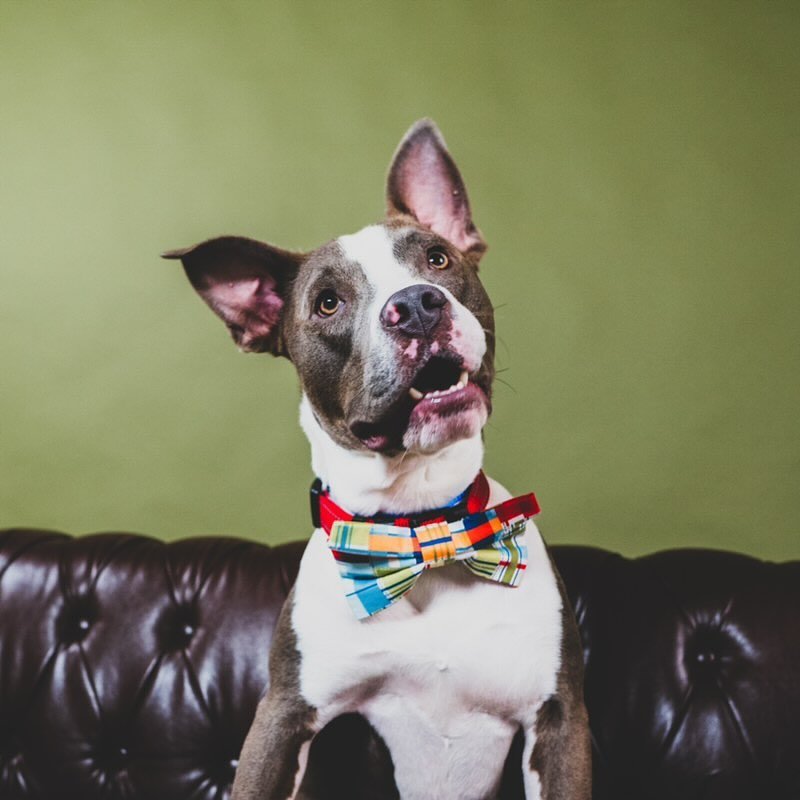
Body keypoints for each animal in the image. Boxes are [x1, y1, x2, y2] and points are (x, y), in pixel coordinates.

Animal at [162, 119, 592, 800]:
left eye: (438, 259)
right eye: (328, 303)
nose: (416, 305)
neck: (421, 524)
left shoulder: (560, 719)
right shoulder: (281, 717)